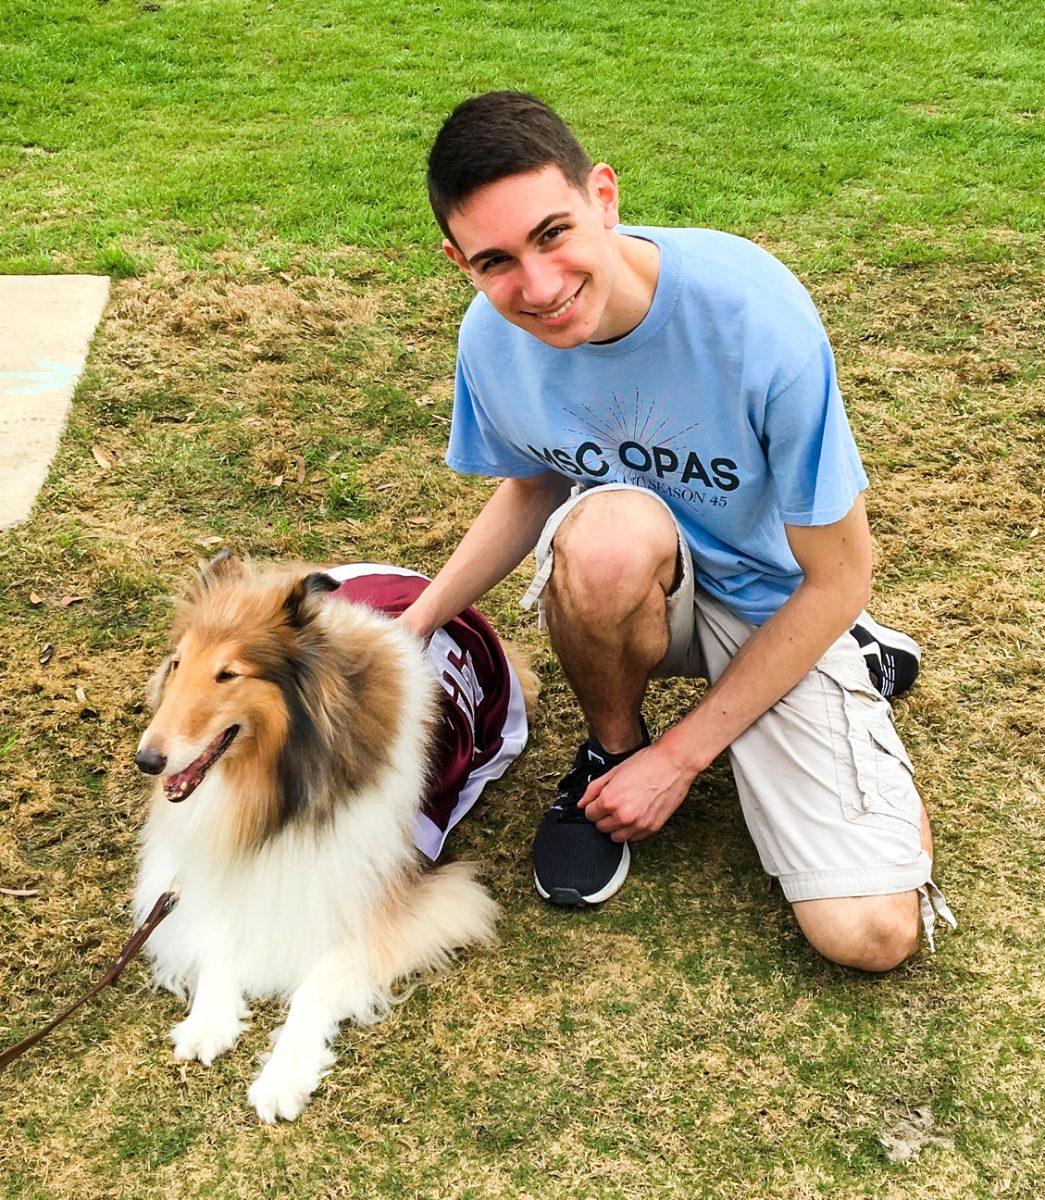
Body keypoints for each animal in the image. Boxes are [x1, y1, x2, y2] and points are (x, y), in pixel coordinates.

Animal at [134, 552, 535, 1123]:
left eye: (228, 674)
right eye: (176, 664)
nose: (146, 760)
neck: (279, 795)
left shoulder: (395, 896)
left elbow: (317, 983)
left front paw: (282, 1074)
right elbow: (218, 930)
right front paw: (209, 1018)